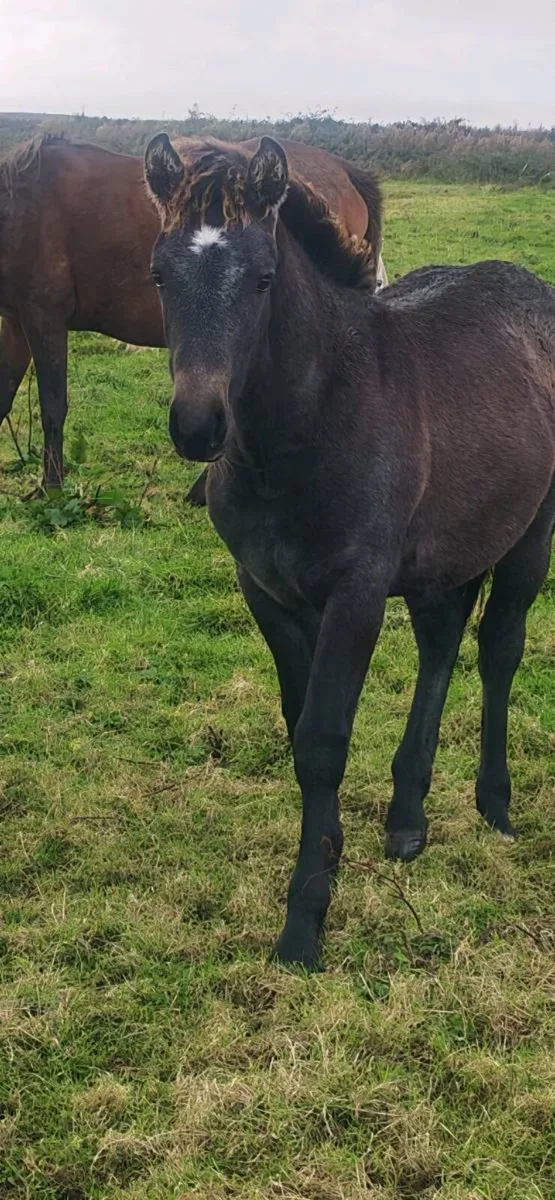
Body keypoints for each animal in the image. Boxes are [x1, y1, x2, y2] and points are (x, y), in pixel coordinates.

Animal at [0, 134, 385, 492]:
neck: (22, 205)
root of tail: (347, 172)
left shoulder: (45, 319)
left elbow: (53, 406)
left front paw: (51, 488)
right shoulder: (17, 323)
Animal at [143, 132, 555, 969]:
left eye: (263, 278)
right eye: (160, 275)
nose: (198, 426)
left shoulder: (355, 593)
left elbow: (323, 741)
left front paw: (304, 922)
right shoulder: (266, 591)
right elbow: (298, 721)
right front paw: (328, 866)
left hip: (531, 534)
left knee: (498, 649)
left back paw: (493, 805)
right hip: (442, 556)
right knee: (440, 645)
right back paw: (406, 818)